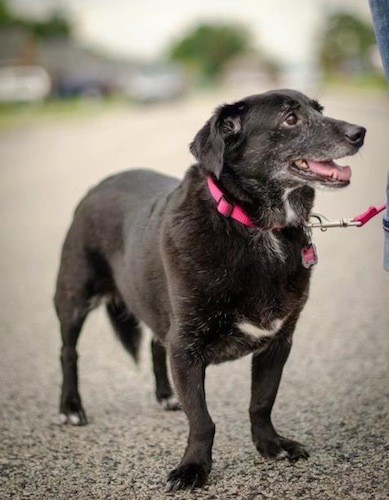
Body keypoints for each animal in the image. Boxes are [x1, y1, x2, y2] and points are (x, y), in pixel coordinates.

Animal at [53, 89, 364, 488]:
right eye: (290, 119)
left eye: (319, 110)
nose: (360, 133)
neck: (254, 226)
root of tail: (101, 184)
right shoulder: (186, 348)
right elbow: (202, 420)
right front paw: (193, 467)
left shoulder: (278, 342)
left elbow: (261, 402)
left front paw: (271, 445)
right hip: (73, 298)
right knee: (68, 353)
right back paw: (71, 408)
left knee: (155, 344)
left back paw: (166, 395)